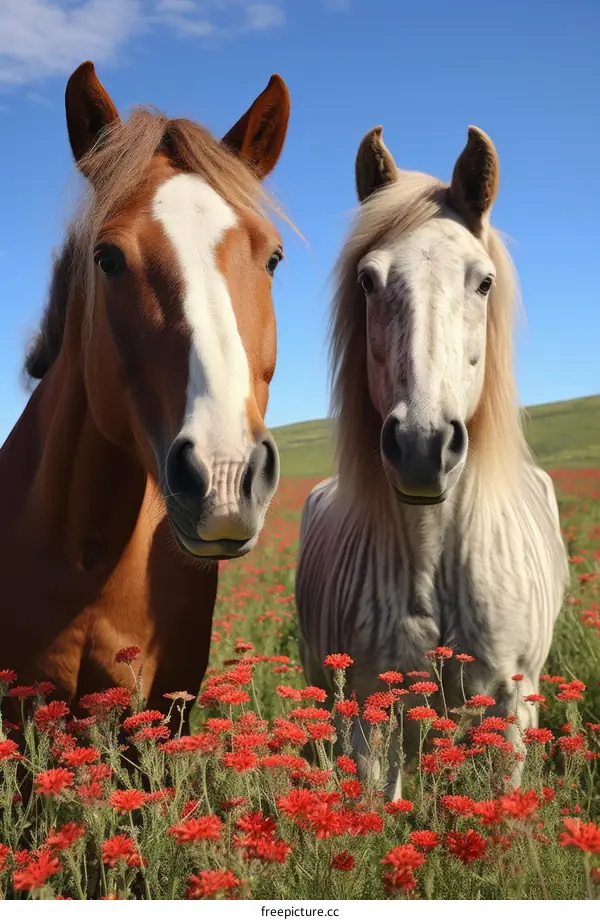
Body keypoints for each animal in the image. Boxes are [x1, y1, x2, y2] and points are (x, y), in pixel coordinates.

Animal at [295, 124, 568, 794]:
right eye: (368, 280)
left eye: (484, 282)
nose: (422, 445)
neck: (432, 554)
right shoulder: (366, 710)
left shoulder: (512, 709)